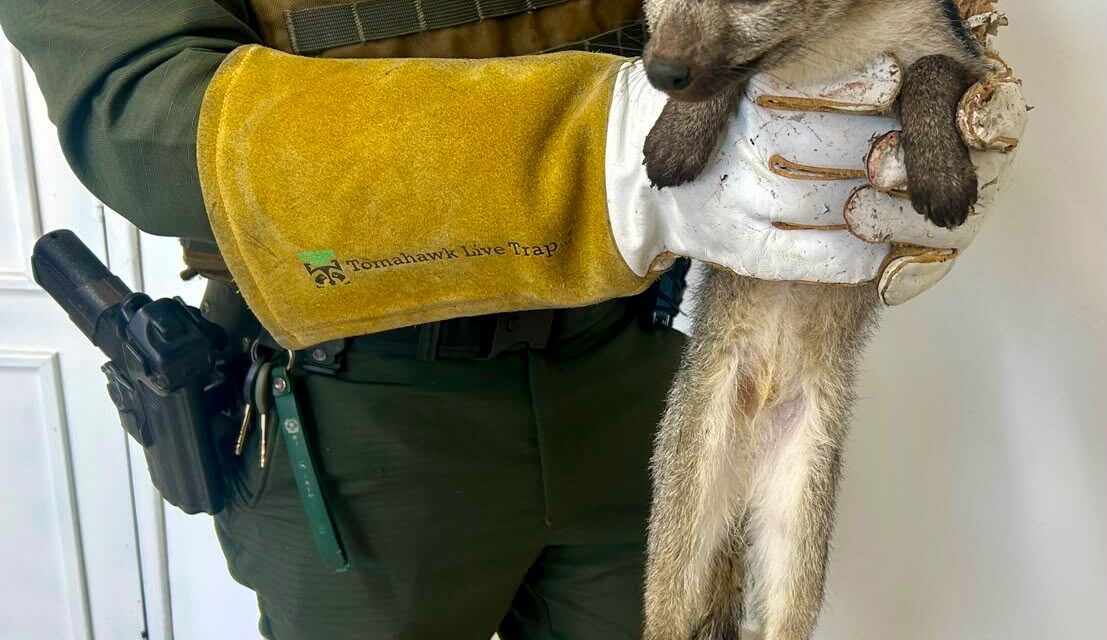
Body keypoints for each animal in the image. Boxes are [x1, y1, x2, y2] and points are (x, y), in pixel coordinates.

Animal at [638, 1, 993, 639]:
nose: (660, 73)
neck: (828, 55)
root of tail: (744, 495)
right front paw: (675, 136)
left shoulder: (967, 62)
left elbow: (929, 71)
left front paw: (941, 173)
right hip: (681, 535)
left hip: (797, 547)